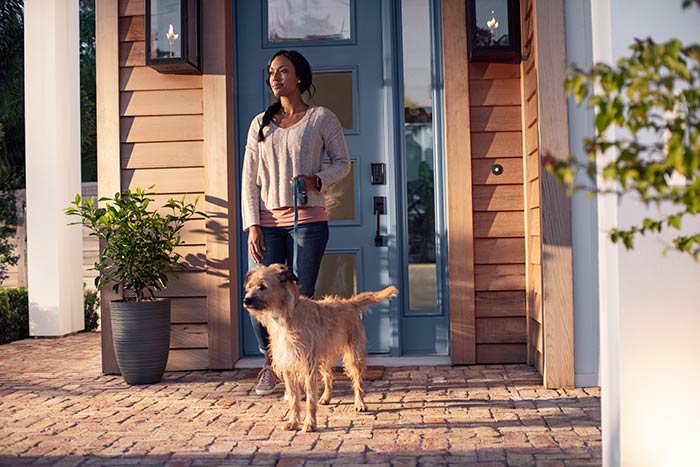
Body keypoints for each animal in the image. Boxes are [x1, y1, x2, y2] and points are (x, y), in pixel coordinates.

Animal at [245, 266, 400, 434]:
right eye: (249, 286)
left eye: (262, 286)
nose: (246, 300)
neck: (287, 315)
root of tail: (349, 303)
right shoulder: (288, 367)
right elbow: (293, 399)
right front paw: (293, 422)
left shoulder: (308, 367)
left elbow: (310, 400)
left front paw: (309, 424)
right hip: (324, 358)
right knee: (329, 376)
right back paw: (326, 397)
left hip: (354, 356)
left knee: (357, 381)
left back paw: (360, 403)